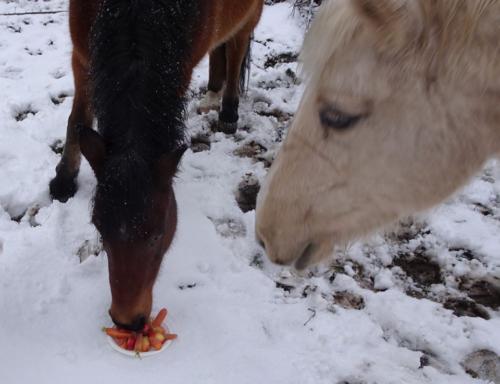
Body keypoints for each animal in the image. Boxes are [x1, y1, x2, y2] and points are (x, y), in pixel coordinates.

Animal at [48, 0, 264, 330]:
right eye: (99, 228)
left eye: (159, 234)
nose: (128, 321)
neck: (138, 11)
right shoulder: (82, 56)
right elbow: (78, 120)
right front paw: (63, 180)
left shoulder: (178, 71)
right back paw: (212, 93)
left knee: (237, 45)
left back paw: (228, 110)